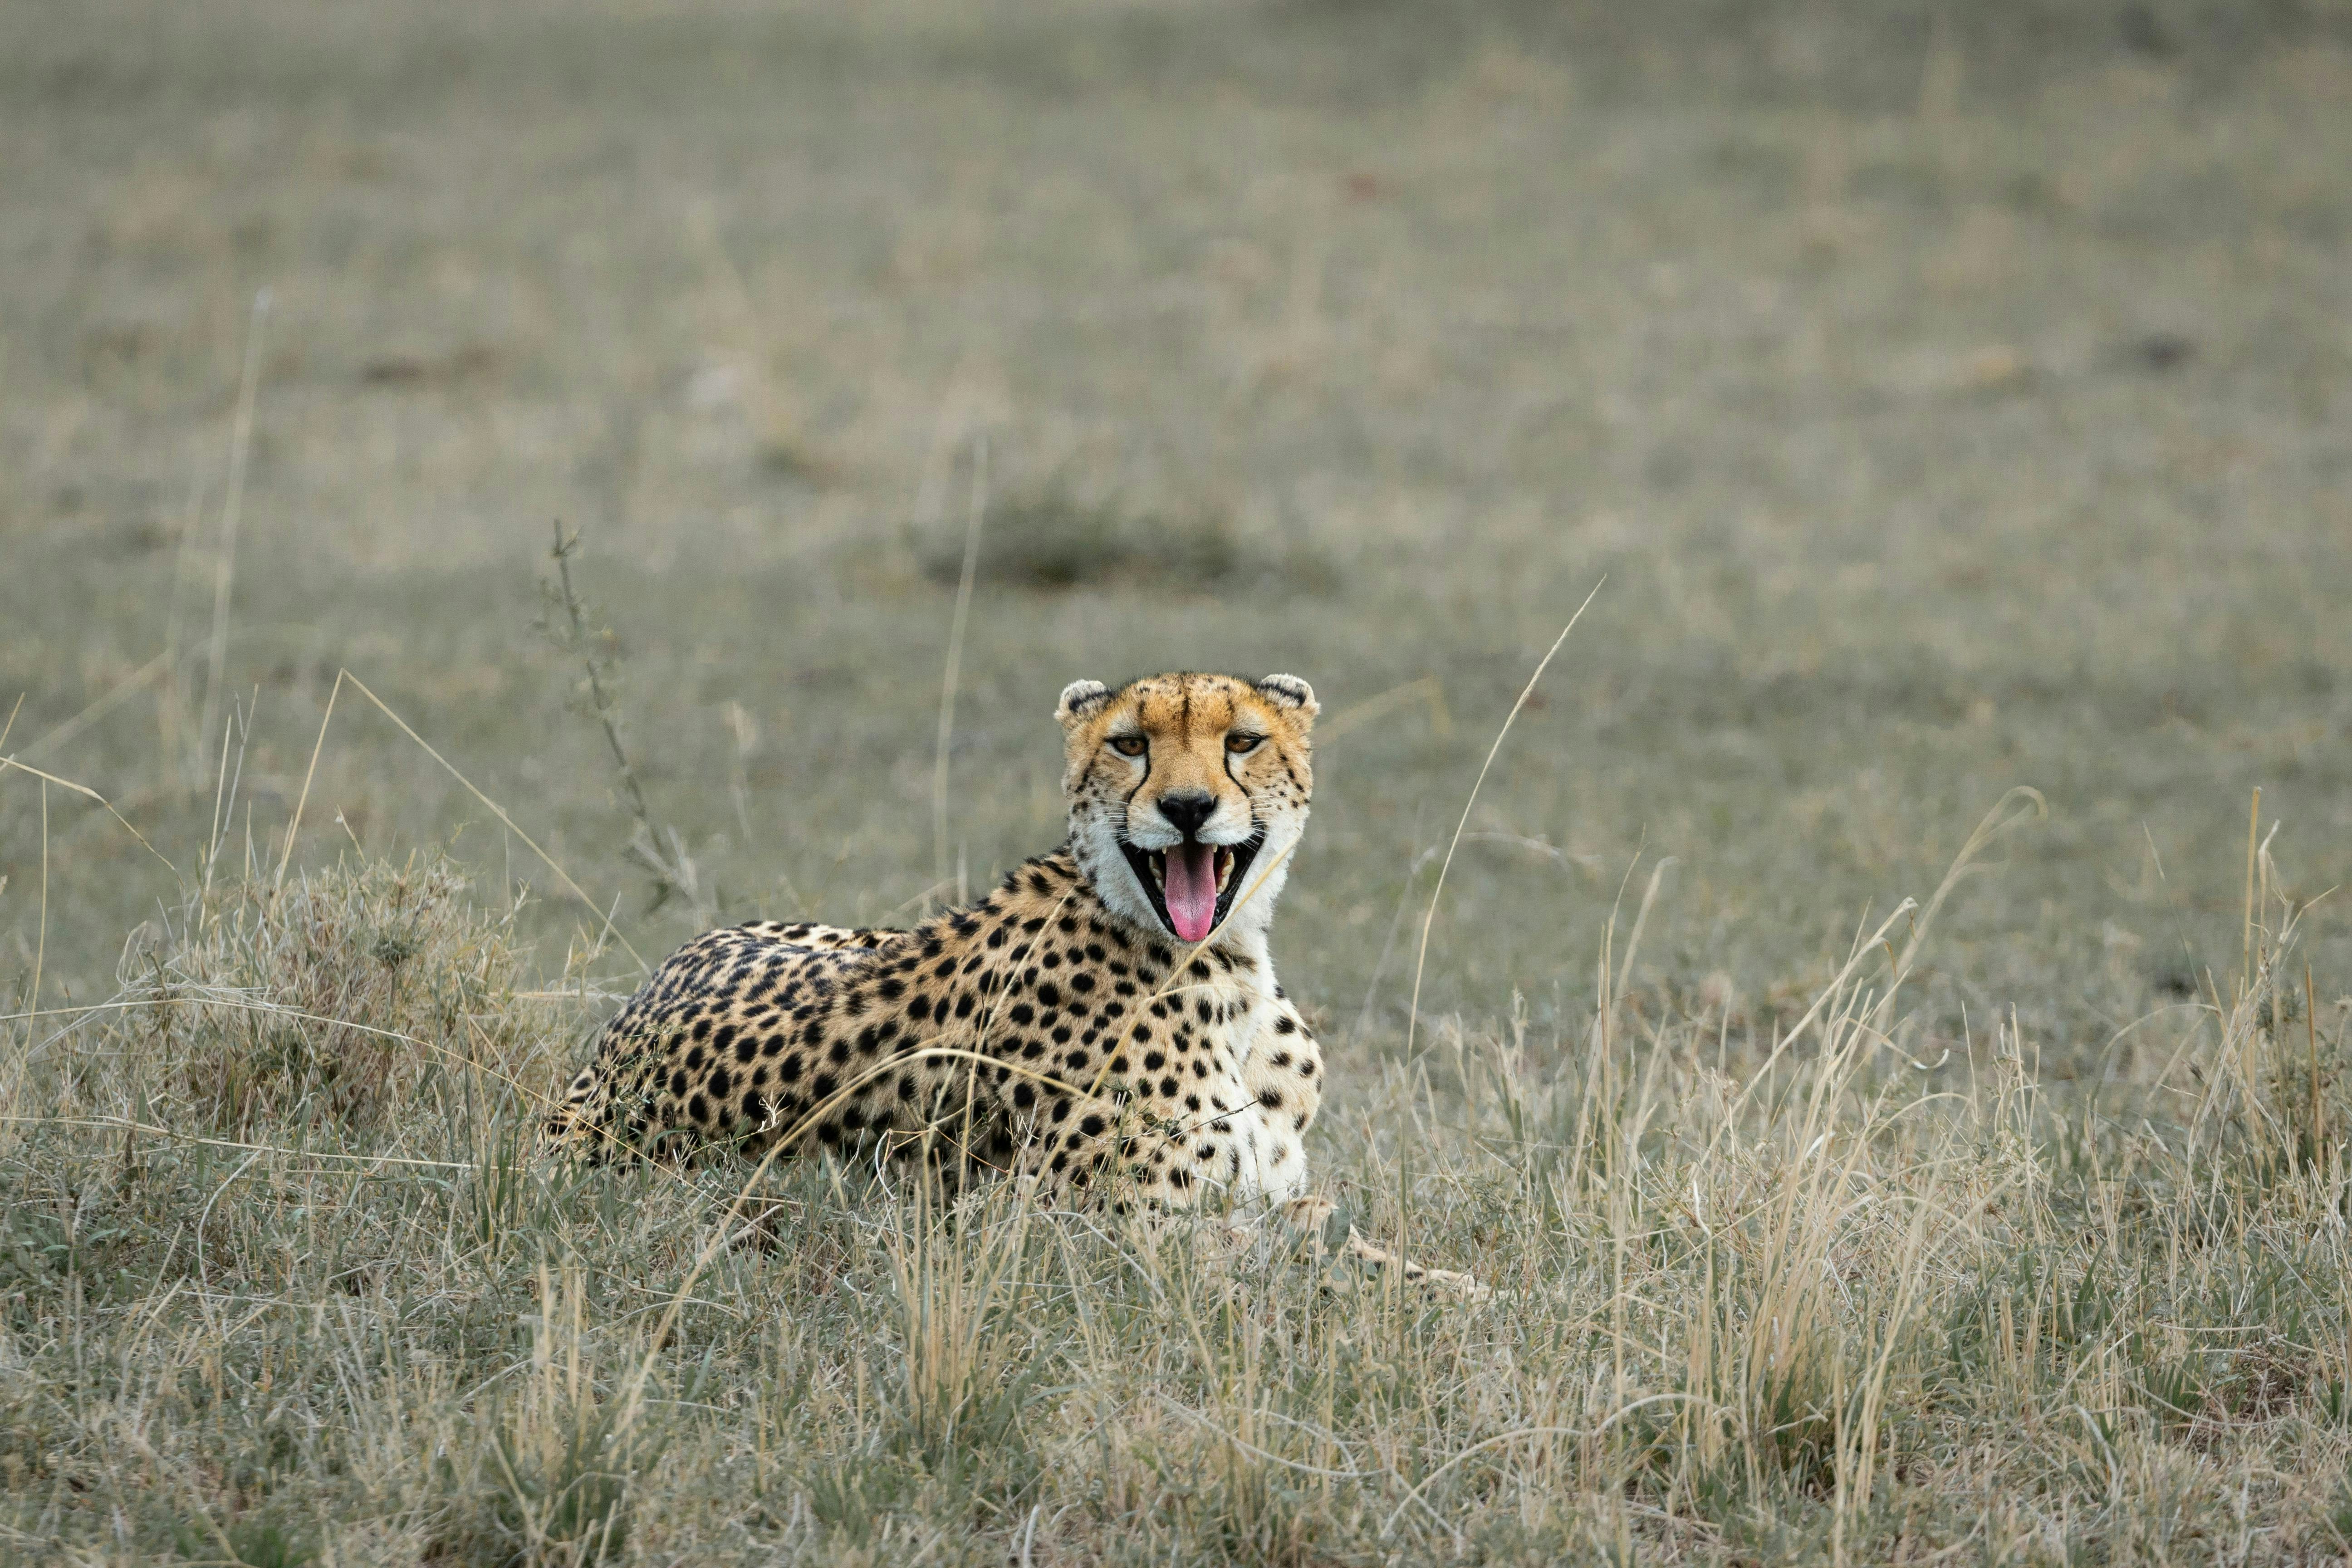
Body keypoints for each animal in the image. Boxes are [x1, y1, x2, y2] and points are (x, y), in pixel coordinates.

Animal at [546, 670, 1482, 1292]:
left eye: (1241, 741)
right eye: (1130, 744)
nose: (1186, 809)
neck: (1227, 969)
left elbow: (1350, 1246)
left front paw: (1462, 1285)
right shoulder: (1088, 1241)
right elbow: (1293, 1266)